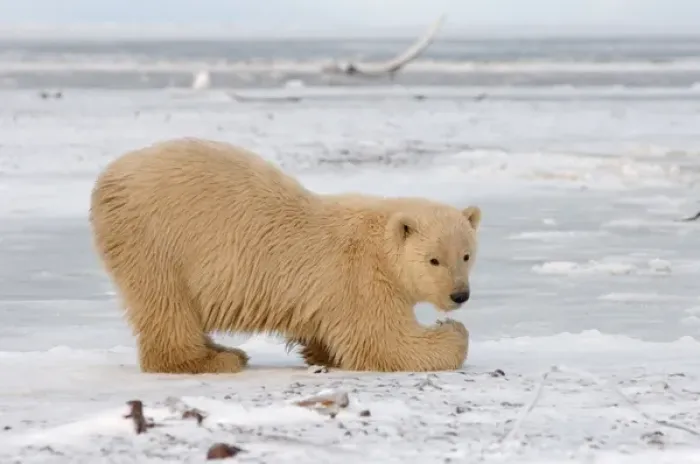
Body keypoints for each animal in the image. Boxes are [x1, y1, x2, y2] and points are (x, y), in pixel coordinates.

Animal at [89, 137, 482, 375]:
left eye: (466, 255)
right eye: (433, 259)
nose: (459, 295)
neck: (378, 241)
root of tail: (107, 178)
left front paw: (319, 352)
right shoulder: (360, 277)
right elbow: (384, 343)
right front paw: (452, 330)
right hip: (157, 240)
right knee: (167, 304)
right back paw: (215, 358)